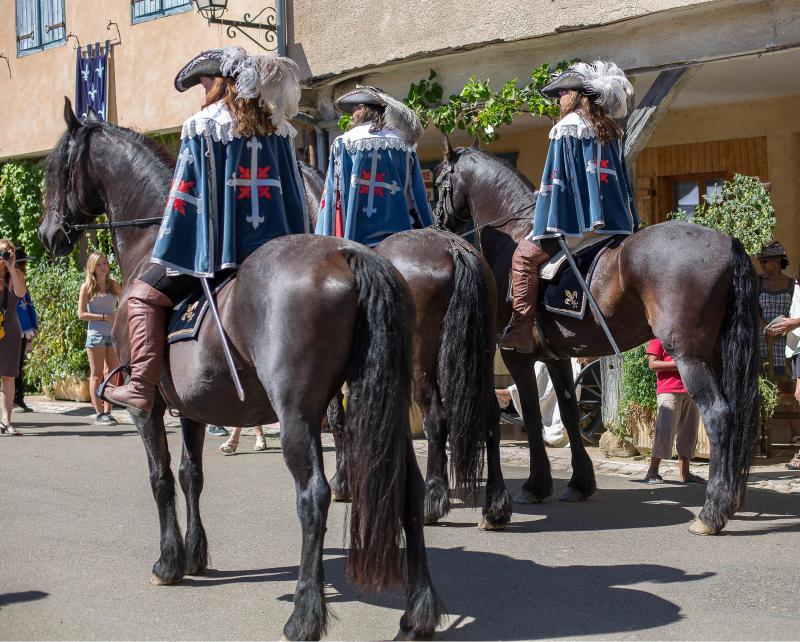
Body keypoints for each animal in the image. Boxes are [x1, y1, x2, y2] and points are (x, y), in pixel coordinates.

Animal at [39, 99, 444, 636]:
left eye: (51, 170)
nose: (46, 236)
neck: (147, 245)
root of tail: (349, 254)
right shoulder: (191, 408)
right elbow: (190, 474)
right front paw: (196, 554)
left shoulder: (146, 407)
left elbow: (160, 477)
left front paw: (169, 562)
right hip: (388, 406)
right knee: (407, 490)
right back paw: (417, 614)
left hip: (298, 416)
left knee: (313, 497)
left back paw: (305, 614)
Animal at [296, 162, 510, 528]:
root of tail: (456, 250)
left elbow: (340, 419)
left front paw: (343, 483)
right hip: (477, 358)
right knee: (490, 416)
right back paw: (494, 507)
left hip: (423, 362)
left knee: (437, 419)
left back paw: (432, 502)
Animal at [434, 141, 760, 536]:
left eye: (438, 180)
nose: (436, 221)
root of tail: (728, 243)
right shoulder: (557, 357)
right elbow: (570, 414)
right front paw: (579, 483)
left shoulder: (517, 355)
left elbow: (532, 416)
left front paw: (535, 485)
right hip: (715, 354)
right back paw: (731, 499)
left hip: (690, 356)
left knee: (719, 416)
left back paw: (712, 513)